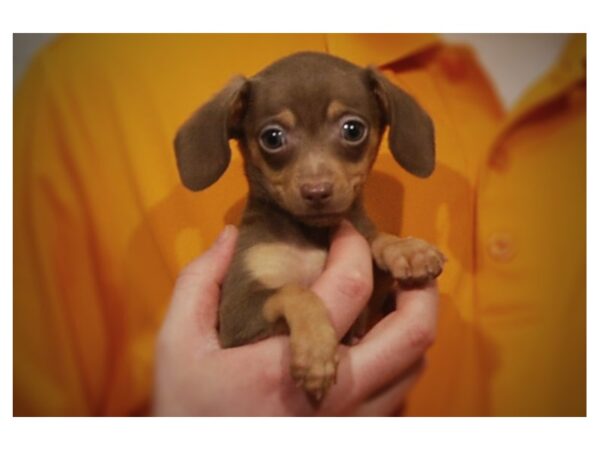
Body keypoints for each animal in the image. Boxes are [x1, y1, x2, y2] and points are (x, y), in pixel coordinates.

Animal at [173, 52, 446, 400]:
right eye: (272, 137)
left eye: (353, 129)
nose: (317, 192)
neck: (312, 236)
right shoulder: (235, 313)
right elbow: (295, 291)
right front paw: (316, 351)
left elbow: (375, 237)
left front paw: (406, 249)